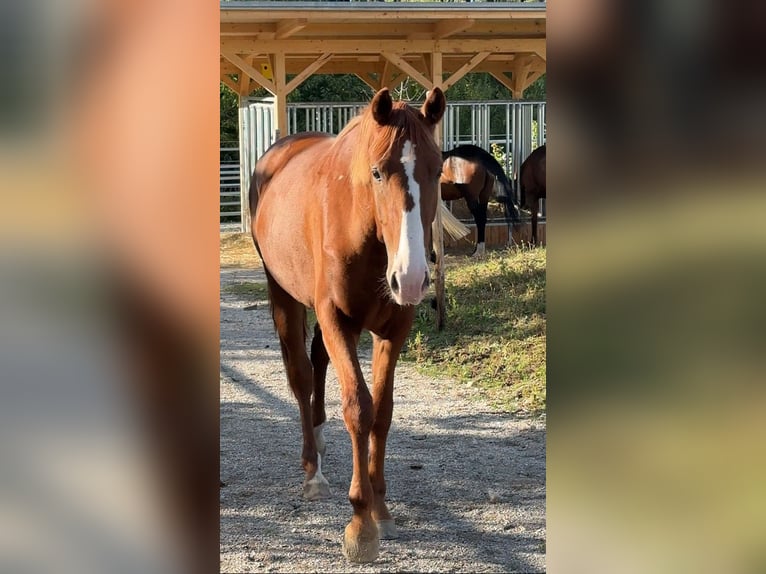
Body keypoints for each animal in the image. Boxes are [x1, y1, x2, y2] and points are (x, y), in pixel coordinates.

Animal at [250, 87, 446, 563]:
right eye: (377, 172)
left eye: (437, 169)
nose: (411, 277)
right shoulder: (337, 319)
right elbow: (359, 407)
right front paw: (360, 525)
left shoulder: (393, 328)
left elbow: (383, 412)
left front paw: (381, 508)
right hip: (284, 296)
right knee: (301, 376)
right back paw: (312, 471)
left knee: (318, 364)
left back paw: (321, 441)